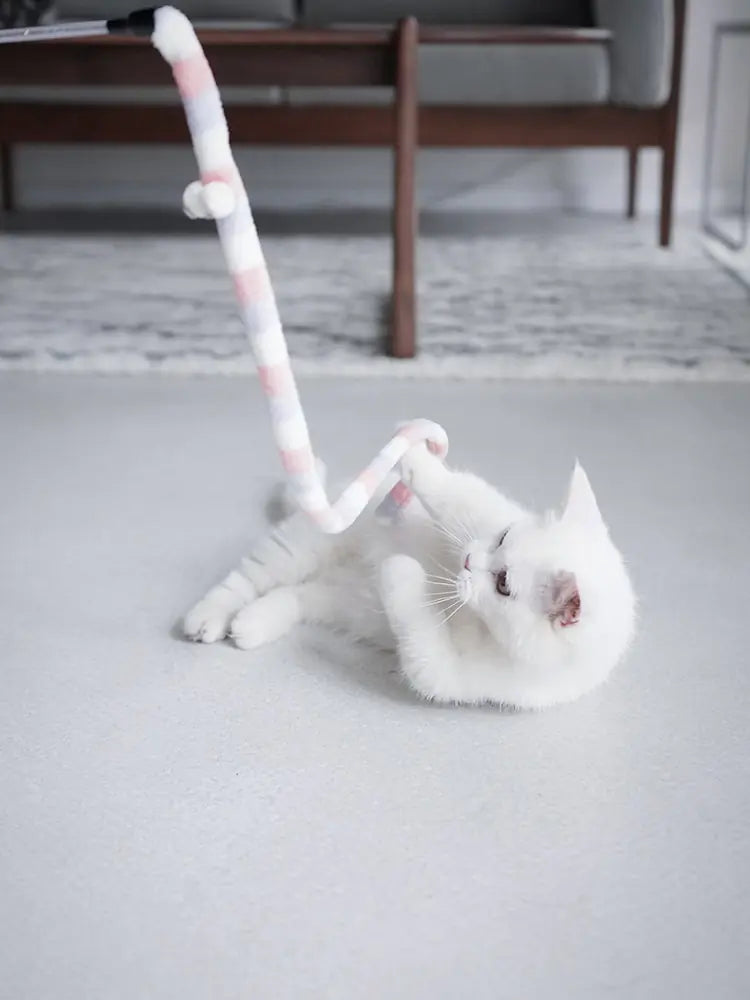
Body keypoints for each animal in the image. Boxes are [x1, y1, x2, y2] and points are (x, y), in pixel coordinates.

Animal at [185, 446, 636, 712]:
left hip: (337, 599)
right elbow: (457, 495)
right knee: (246, 578)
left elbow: (422, 637)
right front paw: (417, 457)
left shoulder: (455, 676)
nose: (468, 559)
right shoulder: (481, 512)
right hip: (306, 546)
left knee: (293, 595)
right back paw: (208, 617)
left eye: (504, 584)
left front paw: (401, 570)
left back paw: (251, 624)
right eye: (504, 535)